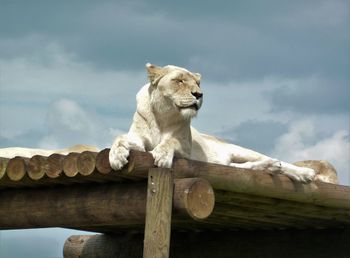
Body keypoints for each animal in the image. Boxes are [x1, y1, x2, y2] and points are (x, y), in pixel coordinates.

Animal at [109, 63, 336, 182]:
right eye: (179, 80)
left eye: (198, 83)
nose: (199, 94)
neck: (164, 116)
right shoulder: (138, 141)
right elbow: (120, 138)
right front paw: (116, 157)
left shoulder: (185, 148)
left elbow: (170, 142)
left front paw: (162, 156)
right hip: (225, 163)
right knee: (244, 167)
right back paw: (272, 167)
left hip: (239, 150)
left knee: (271, 161)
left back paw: (302, 173)